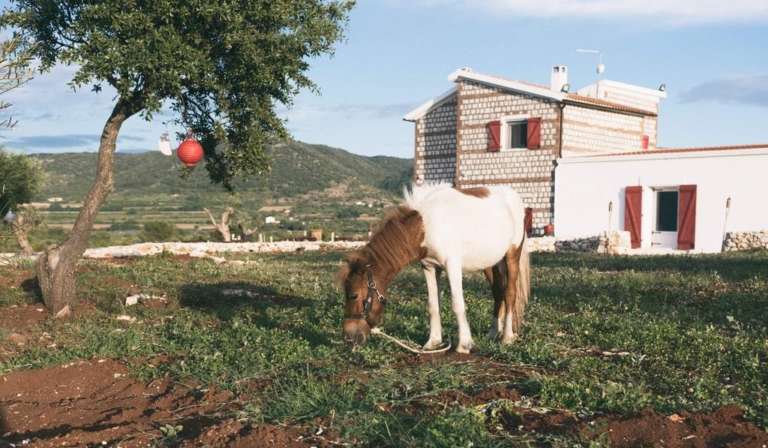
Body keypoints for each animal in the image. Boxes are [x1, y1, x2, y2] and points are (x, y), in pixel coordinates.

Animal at [340, 182, 532, 354]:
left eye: (354, 295)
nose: (348, 338)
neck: (427, 226)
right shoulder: (430, 267)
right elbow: (433, 305)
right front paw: (433, 342)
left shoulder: (452, 265)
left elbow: (457, 304)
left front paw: (464, 345)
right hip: (491, 263)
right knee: (498, 292)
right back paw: (493, 333)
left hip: (512, 255)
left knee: (510, 293)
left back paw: (507, 337)